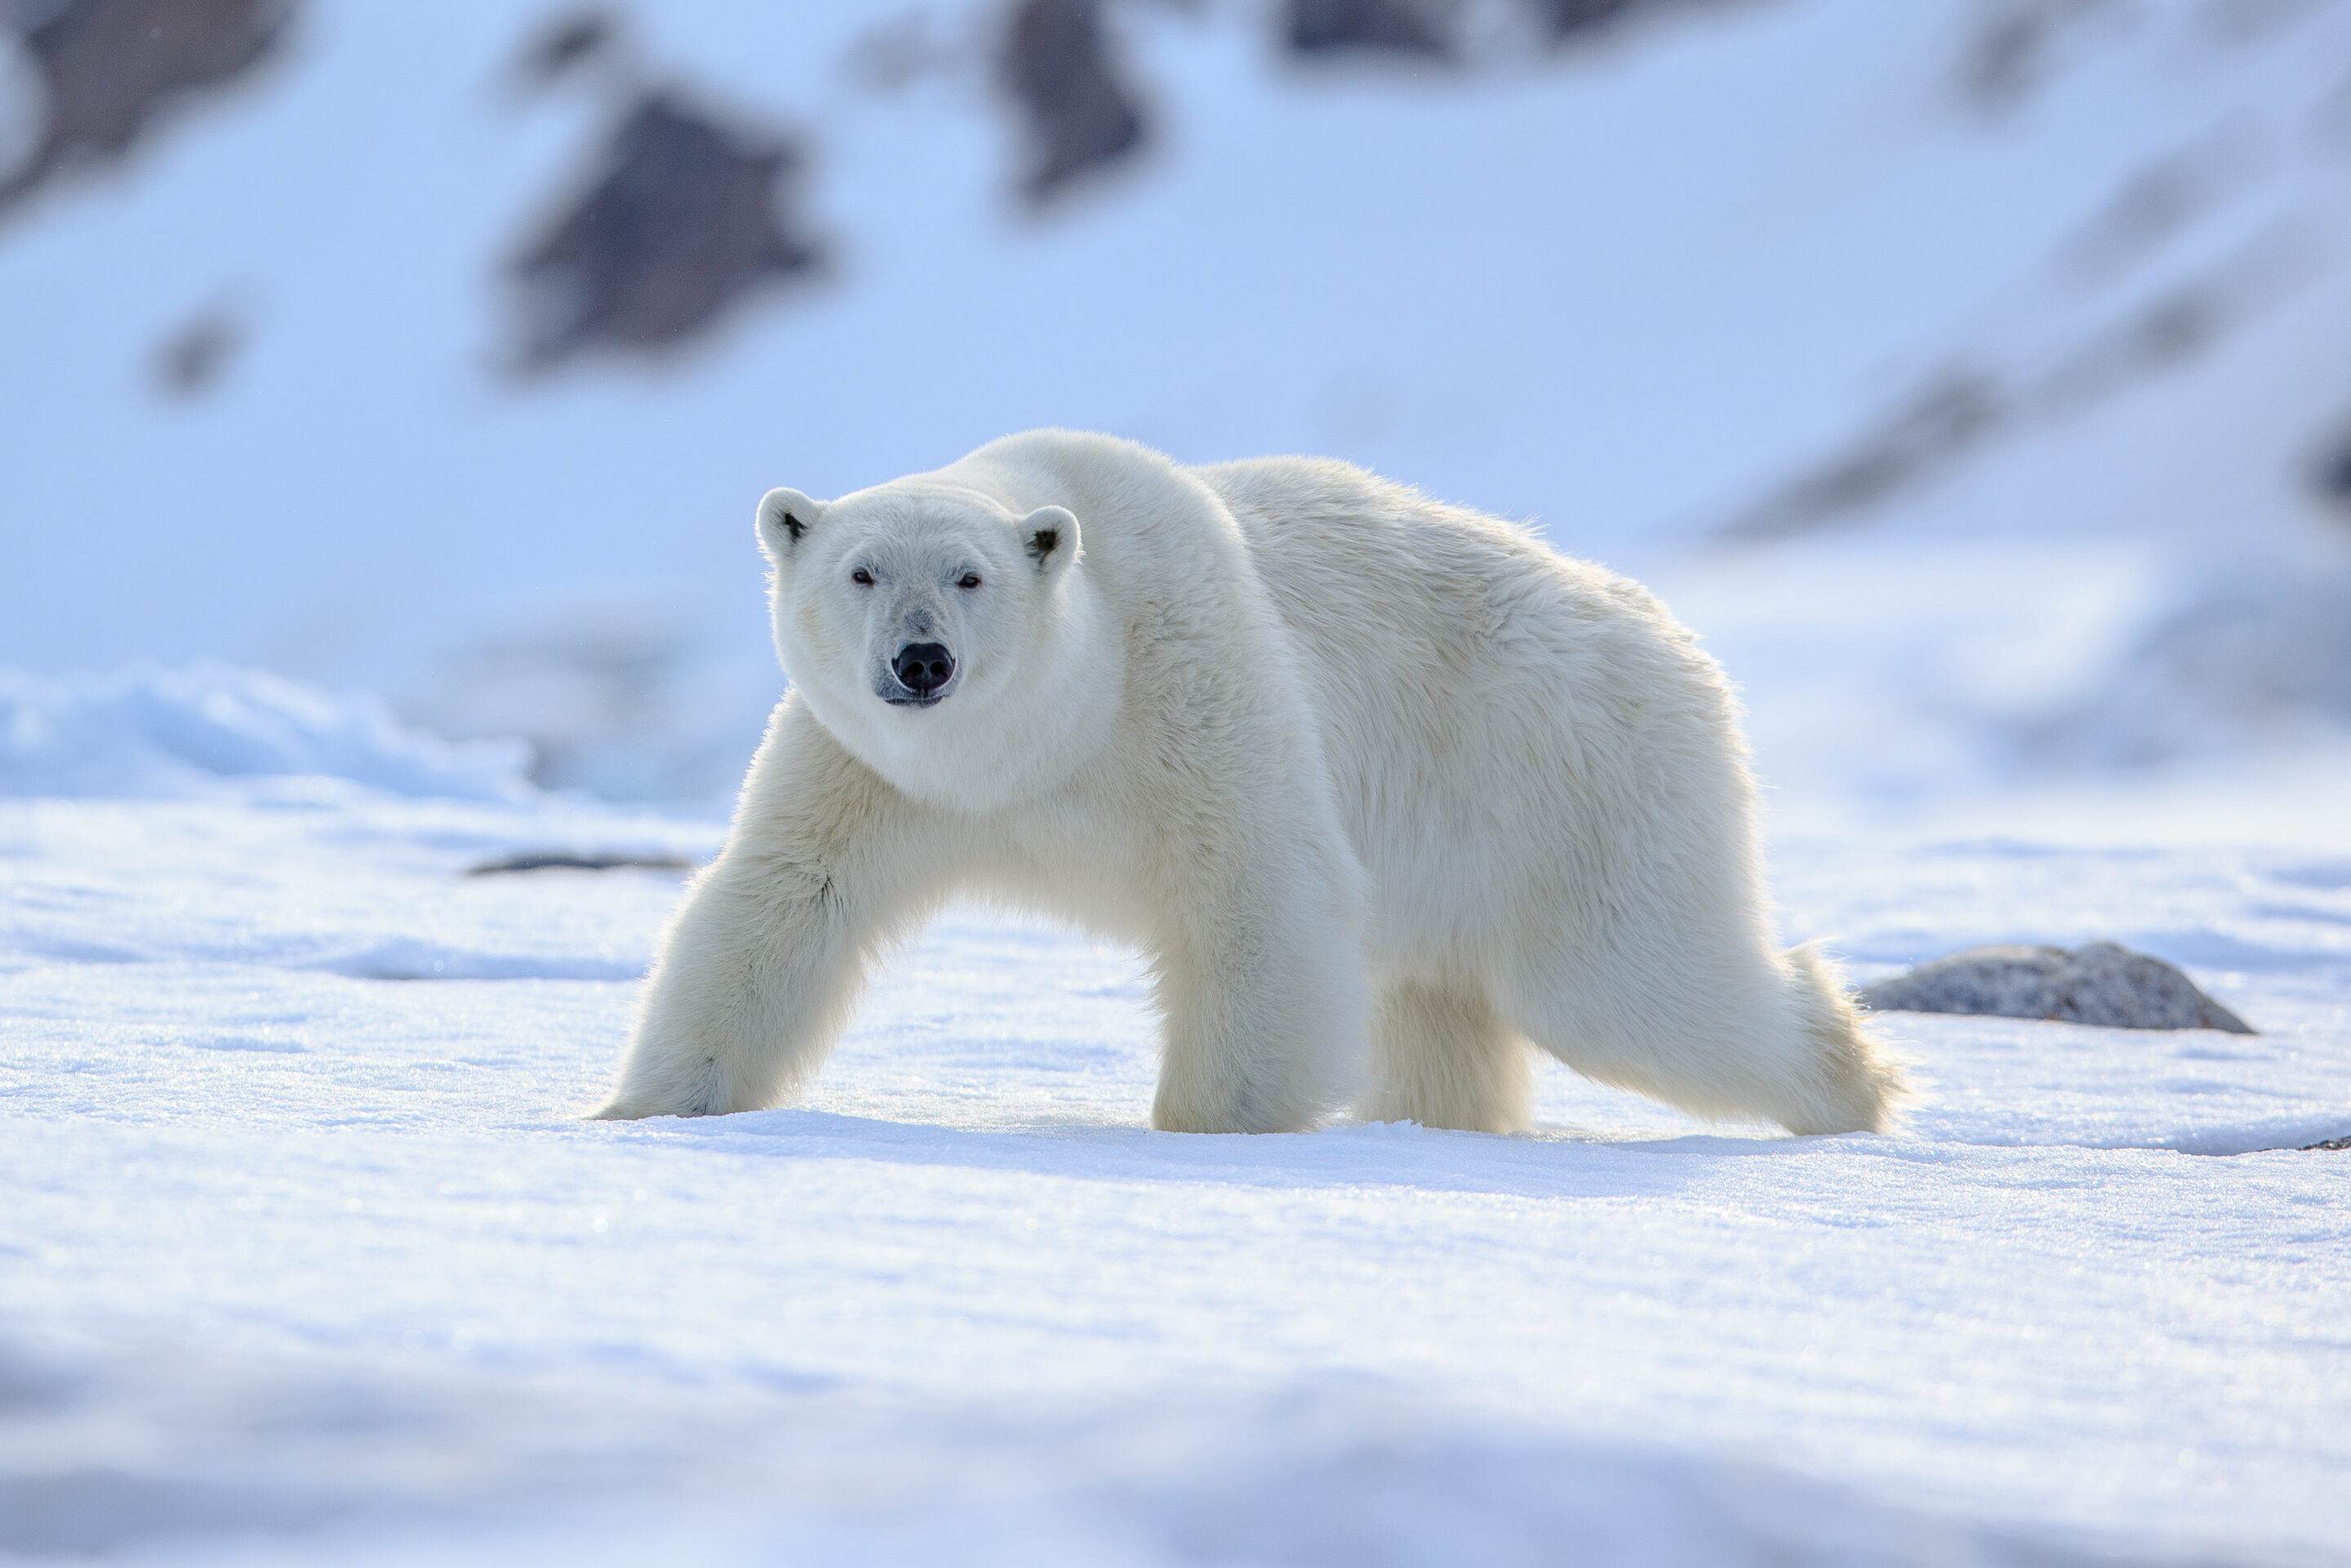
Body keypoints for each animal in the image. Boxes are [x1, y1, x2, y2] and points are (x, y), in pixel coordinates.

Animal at [594, 430, 1905, 1136]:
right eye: (861, 570)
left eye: (969, 576)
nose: (921, 662)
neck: (1046, 740)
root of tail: (1674, 639)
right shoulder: (869, 771)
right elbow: (784, 901)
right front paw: (643, 1110)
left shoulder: (1193, 689)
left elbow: (1259, 894)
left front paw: (1210, 1131)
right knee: (1442, 1003)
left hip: (1568, 778)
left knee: (1631, 983)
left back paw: (1856, 1085)